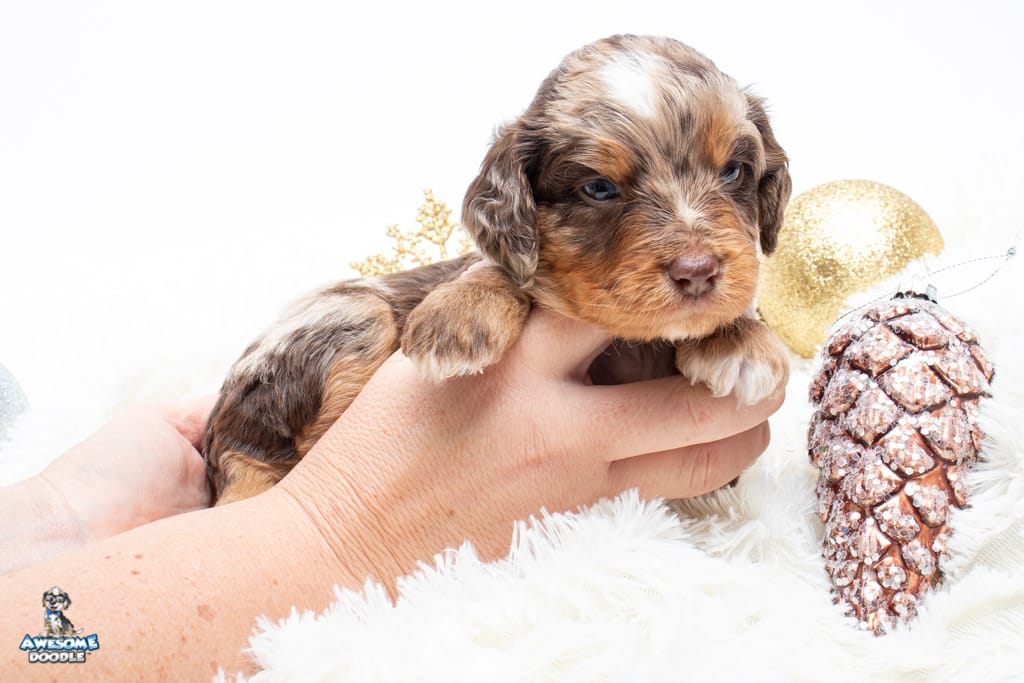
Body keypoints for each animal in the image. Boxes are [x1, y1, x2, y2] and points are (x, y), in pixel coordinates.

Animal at [203, 34, 792, 505]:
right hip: (351, 315)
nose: (698, 271)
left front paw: (740, 340)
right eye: (599, 188)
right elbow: (497, 267)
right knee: (256, 460)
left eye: (734, 171)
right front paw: (460, 315)